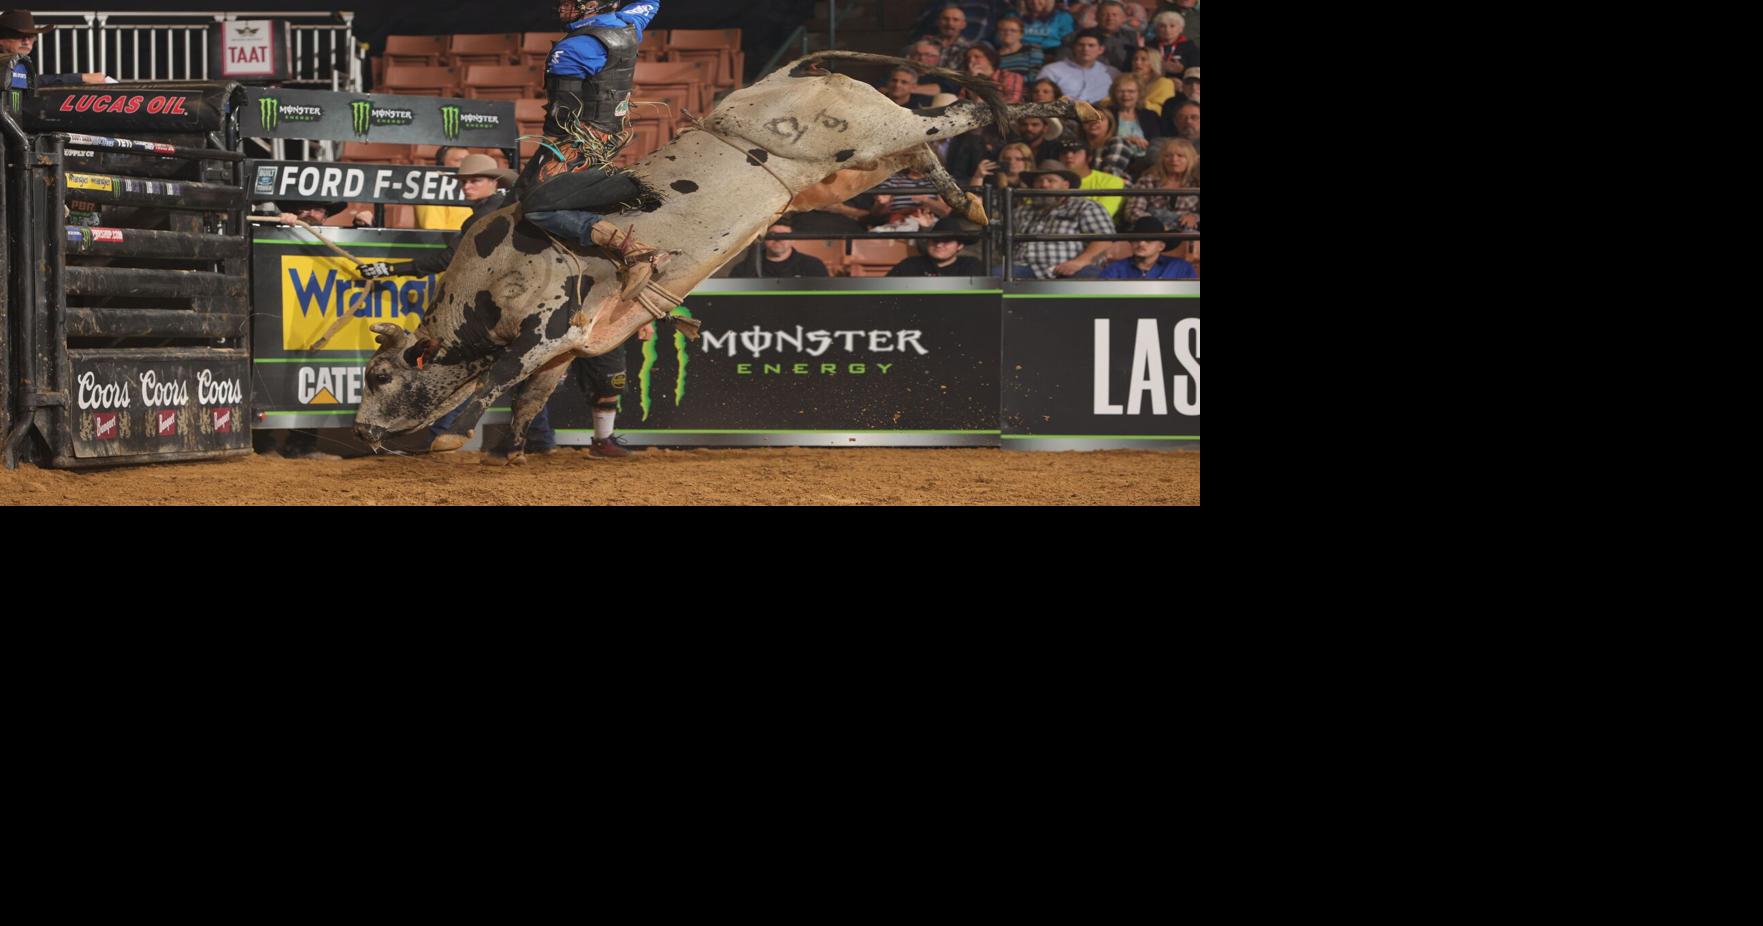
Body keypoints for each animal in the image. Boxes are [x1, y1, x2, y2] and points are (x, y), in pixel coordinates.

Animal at [353, 52, 1097, 463]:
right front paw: (510, 452)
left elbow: (499, 379)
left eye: (379, 377)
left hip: (871, 135)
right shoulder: (570, 344)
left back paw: (1069, 114)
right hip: (853, 168)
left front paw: (450, 437)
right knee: (927, 146)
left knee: (960, 113)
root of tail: (788, 76)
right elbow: (531, 394)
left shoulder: (547, 325)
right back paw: (969, 201)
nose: (360, 434)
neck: (488, 278)